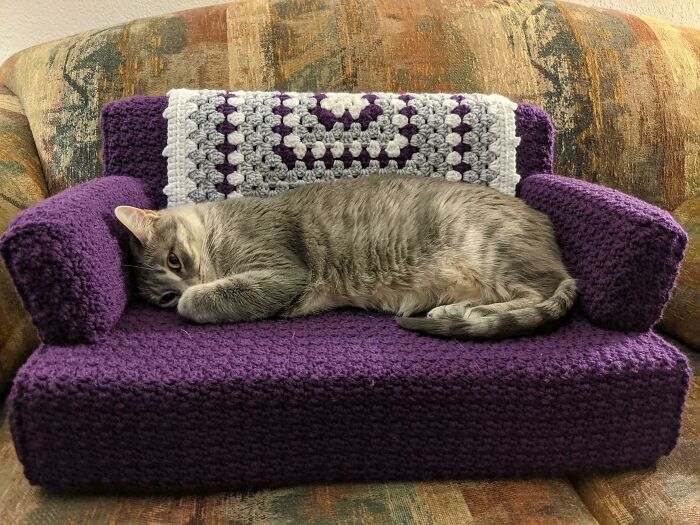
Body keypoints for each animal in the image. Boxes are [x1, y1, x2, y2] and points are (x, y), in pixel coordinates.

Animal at [115, 176, 576, 338]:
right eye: (163, 297)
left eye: (175, 261)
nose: (183, 287)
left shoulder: (282, 271)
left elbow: (205, 301)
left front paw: (198, 296)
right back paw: (453, 309)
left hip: (490, 249)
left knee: (540, 293)